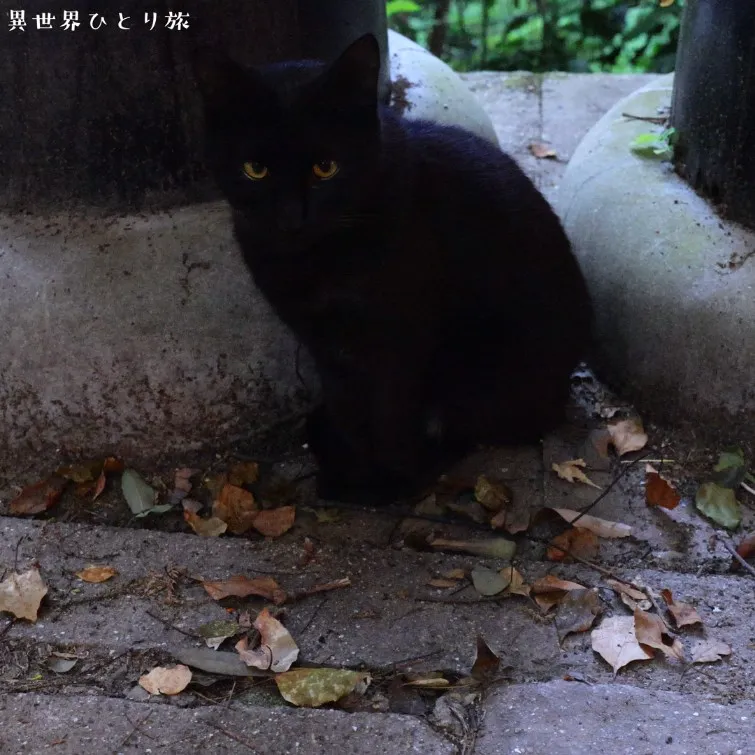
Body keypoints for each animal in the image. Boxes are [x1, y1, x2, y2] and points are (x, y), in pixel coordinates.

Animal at [192, 35, 592, 504]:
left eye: (325, 167)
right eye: (255, 170)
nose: (292, 218)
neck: (318, 260)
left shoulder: (400, 340)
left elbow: (389, 418)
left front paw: (385, 484)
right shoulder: (324, 344)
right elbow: (347, 409)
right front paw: (354, 466)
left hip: (479, 371)